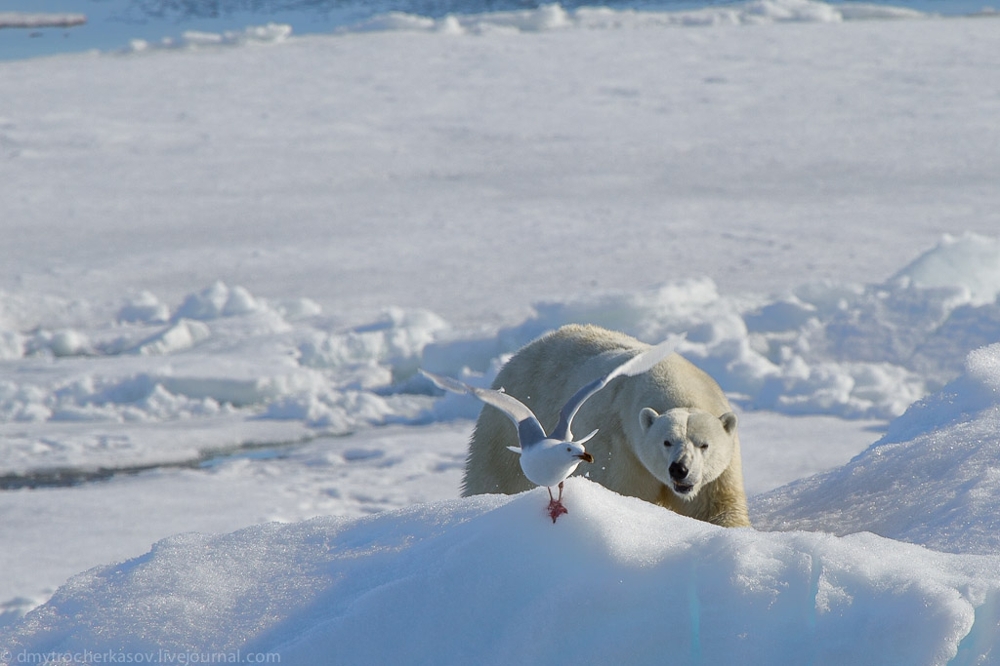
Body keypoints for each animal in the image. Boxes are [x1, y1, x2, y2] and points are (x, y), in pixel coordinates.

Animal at [460, 324, 752, 528]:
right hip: (501, 432)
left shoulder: (719, 473)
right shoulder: (620, 448)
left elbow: (717, 510)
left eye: (705, 444)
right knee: (492, 477)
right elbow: (623, 493)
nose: (679, 469)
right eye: (666, 441)